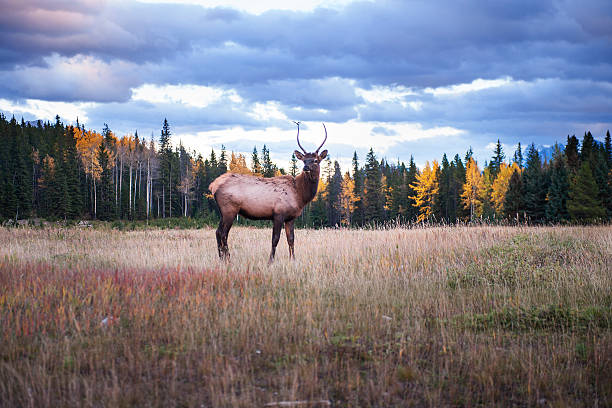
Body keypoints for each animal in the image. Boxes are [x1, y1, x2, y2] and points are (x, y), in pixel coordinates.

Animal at [208, 121, 328, 262]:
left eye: (315, 160)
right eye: (304, 160)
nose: (306, 168)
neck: (300, 195)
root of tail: (213, 186)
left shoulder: (290, 218)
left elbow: (291, 240)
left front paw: (293, 260)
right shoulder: (278, 214)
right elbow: (275, 239)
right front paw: (270, 261)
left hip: (224, 212)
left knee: (218, 232)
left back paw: (222, 259)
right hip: (229, 209)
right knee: (222, 233)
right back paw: (227, 259)